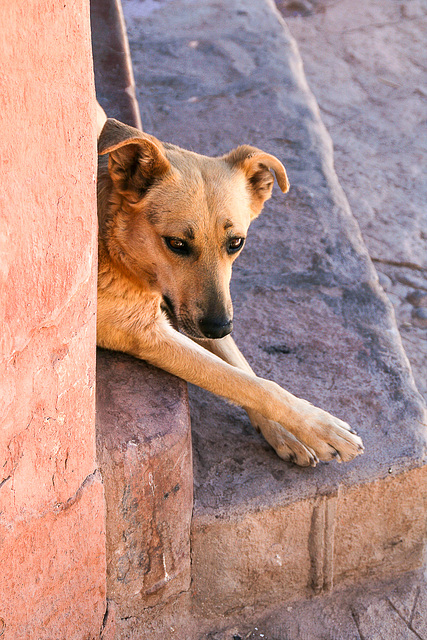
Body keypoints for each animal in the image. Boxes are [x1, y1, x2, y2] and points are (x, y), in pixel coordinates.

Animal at [96, 112, 364, 468]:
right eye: (176, 244)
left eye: (236, 243)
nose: (220, 327)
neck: (115, 248)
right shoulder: (144, 333)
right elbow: (248, 383)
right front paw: (319, 426)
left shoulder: (189, 312)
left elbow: (245, 371)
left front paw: (285, 432)